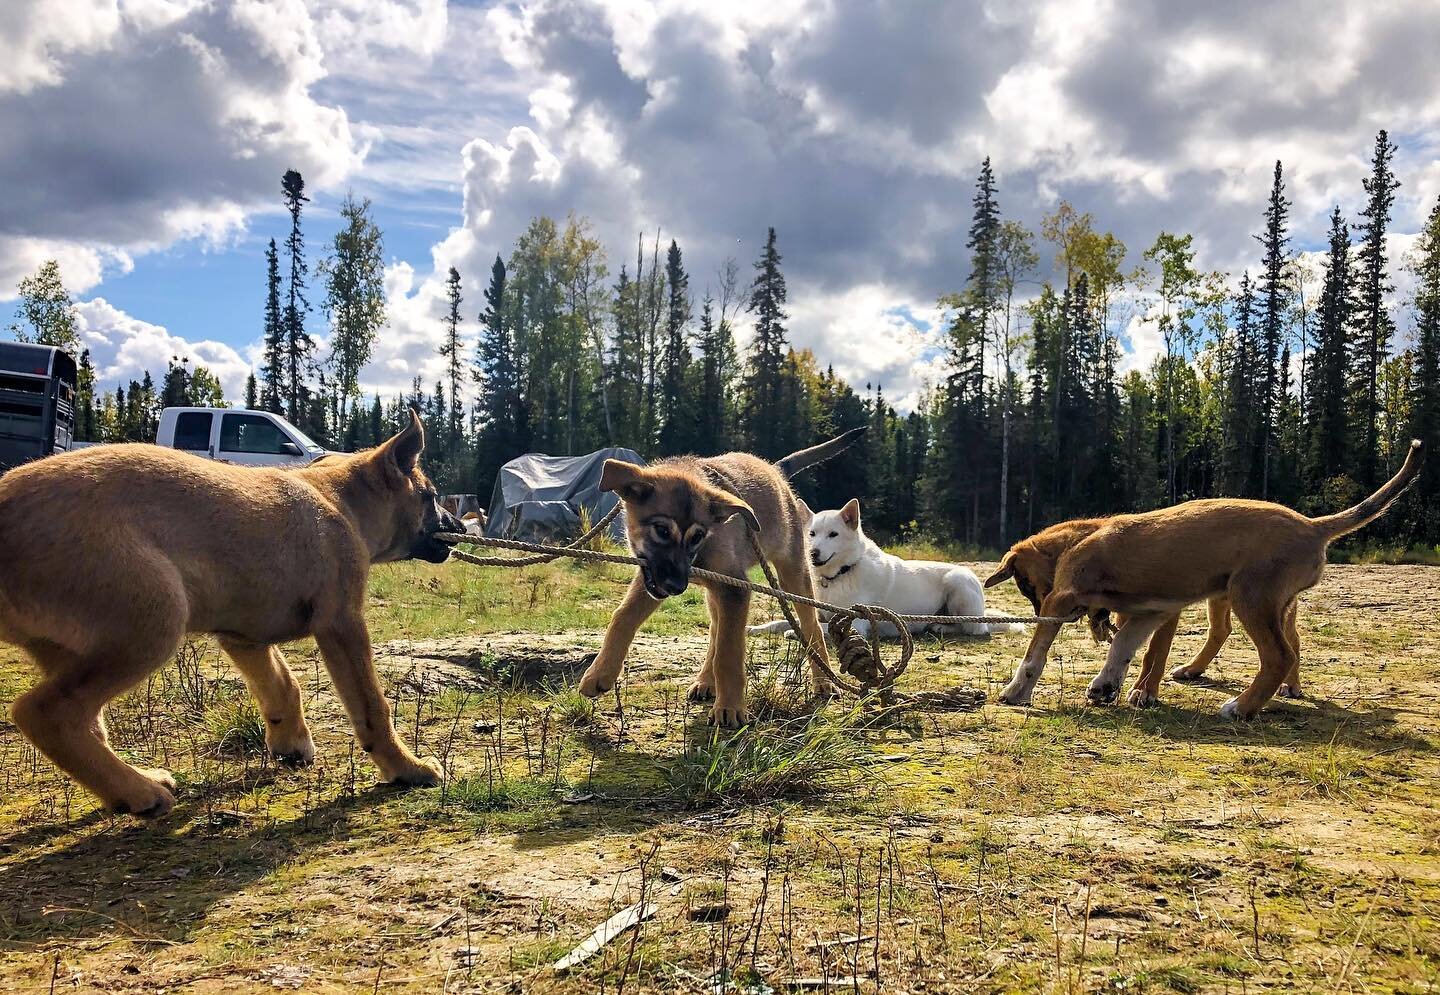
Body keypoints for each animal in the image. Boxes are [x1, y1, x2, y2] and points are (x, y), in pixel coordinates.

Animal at [0, 411, 460, 817]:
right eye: (432, 496)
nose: (459, 528)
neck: (339, 500)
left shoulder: (244, 637)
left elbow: (284, 685)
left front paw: (290, 743)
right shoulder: (342, 622)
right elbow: (371, 706)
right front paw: (407, 768)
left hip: (70, 646)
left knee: (85, 721)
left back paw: (129, 785)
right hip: (156, 617)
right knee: (45, 713)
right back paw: (140, 793)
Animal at [578, 434, 858, 722]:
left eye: (697, 536)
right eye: (661, 530)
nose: (677, 587)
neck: (700, 552)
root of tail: (776, 470)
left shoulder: (734, 589)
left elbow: (729, 651)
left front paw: (730, 706)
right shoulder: (655, 579)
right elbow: (623, 617)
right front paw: (600, 673)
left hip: (792, 573)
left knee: (811, 626)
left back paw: (823, 682)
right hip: (714, 592)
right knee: (715, 628)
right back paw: (705, 681)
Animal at [754, 501, 1025, 642]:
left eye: (833, 534)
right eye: (811, 534)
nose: (813, 553)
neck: (842, 572)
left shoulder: (857, 625)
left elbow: (818, 629)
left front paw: (794, 632)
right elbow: (782, 621)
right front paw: (757, 628)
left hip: (958, 582)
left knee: (975, 629)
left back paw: (941, 627)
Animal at [984, 440, 1422, 717]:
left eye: (1027, 587)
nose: (1036, 611)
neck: (1080, 536)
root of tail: (1314, 526)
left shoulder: (1062, 599)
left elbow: (1035, 657)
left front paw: (1016, 692)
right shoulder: (1148, 613)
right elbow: (1123, 649)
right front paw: (1107, 685)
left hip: (1251, 597)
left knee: (1279, 656)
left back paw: (1241, 708)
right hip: (1267, 603)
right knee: (1286, 646)